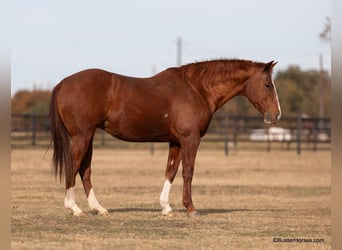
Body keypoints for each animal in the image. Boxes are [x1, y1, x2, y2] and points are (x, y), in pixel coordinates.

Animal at [50, 58, 280, 217]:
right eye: (268, 85)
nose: (276, 115)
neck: (197, 89)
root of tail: (62, 83)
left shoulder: (176, 142)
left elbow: (171, 171)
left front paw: (166, 207)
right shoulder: (190, 140)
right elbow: (188, 172)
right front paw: (191, 208)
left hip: (87, 137)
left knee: (85, 171)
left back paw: (99, 208)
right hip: (82, 136)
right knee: (74, 167)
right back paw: (74, 208)